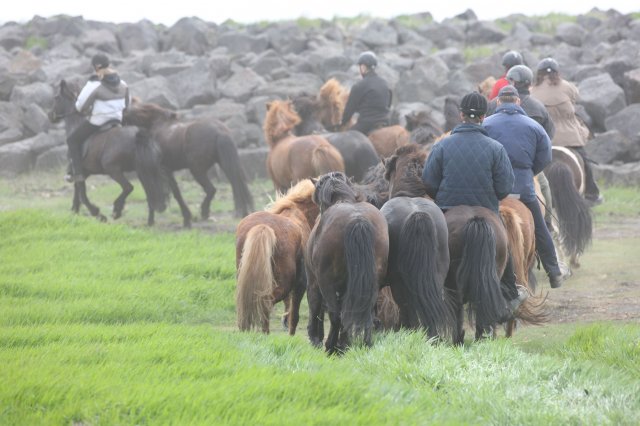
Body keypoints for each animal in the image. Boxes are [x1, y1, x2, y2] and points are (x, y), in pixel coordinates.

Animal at [48, 80, 169, 226]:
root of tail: (138, 135)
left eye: (56, 98)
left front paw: (96, 213)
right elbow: (78, 189)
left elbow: (81, 190)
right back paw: (149, 221)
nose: (50, 115)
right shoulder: (84, 171)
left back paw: (117, 210)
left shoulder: (81, 170)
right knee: (150, 191)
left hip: (114, 170)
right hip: (143, 170)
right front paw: (75, 211)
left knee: (129, 187)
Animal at [124, 102, 254, 228]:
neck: (159, 125)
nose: (123, 116)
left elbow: (176, 193)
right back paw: (243, 213)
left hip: (197, 170)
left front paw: (187, 219)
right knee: (236, 184)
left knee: (211, 189)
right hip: (224, 165)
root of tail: (219, 131)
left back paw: (205, 212)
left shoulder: (165, 170)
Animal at [306, 171, 390, 354]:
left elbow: (315, 305)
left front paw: (315, 338)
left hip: (327, 282)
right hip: (372, 281)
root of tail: (357, 219)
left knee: (335, 313)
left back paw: (332, 346)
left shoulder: (314, 281)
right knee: (364, 311)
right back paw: (362, 343)